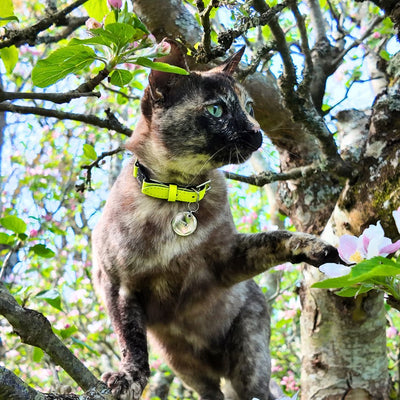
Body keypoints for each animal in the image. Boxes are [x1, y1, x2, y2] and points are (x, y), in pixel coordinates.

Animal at [91, 38, 340, 400]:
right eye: (216, 110)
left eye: (250, 107)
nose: (257, 133)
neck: (177, 196)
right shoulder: (118, 286)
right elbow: (131, 342)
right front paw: (128, 377)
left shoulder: (223, 262)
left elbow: (274, 237)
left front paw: (311, 246)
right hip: (182, 363)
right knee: (210, 391)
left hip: (249, 353)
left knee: (253, 390)